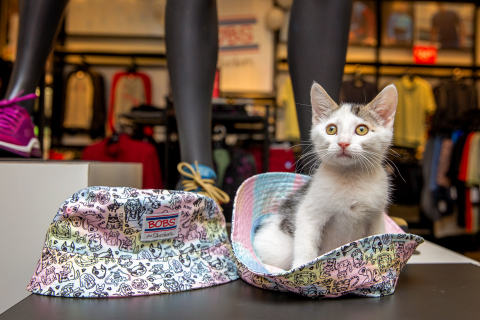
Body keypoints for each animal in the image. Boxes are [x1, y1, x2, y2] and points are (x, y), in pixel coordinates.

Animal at [253, 81, 400, 268]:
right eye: (331, 129)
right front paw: (301, 268)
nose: (343, 143)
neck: (351, 177)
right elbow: (306, 246)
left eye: (361, 129)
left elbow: (378, 238)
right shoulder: (308, 214)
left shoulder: (376, 217)